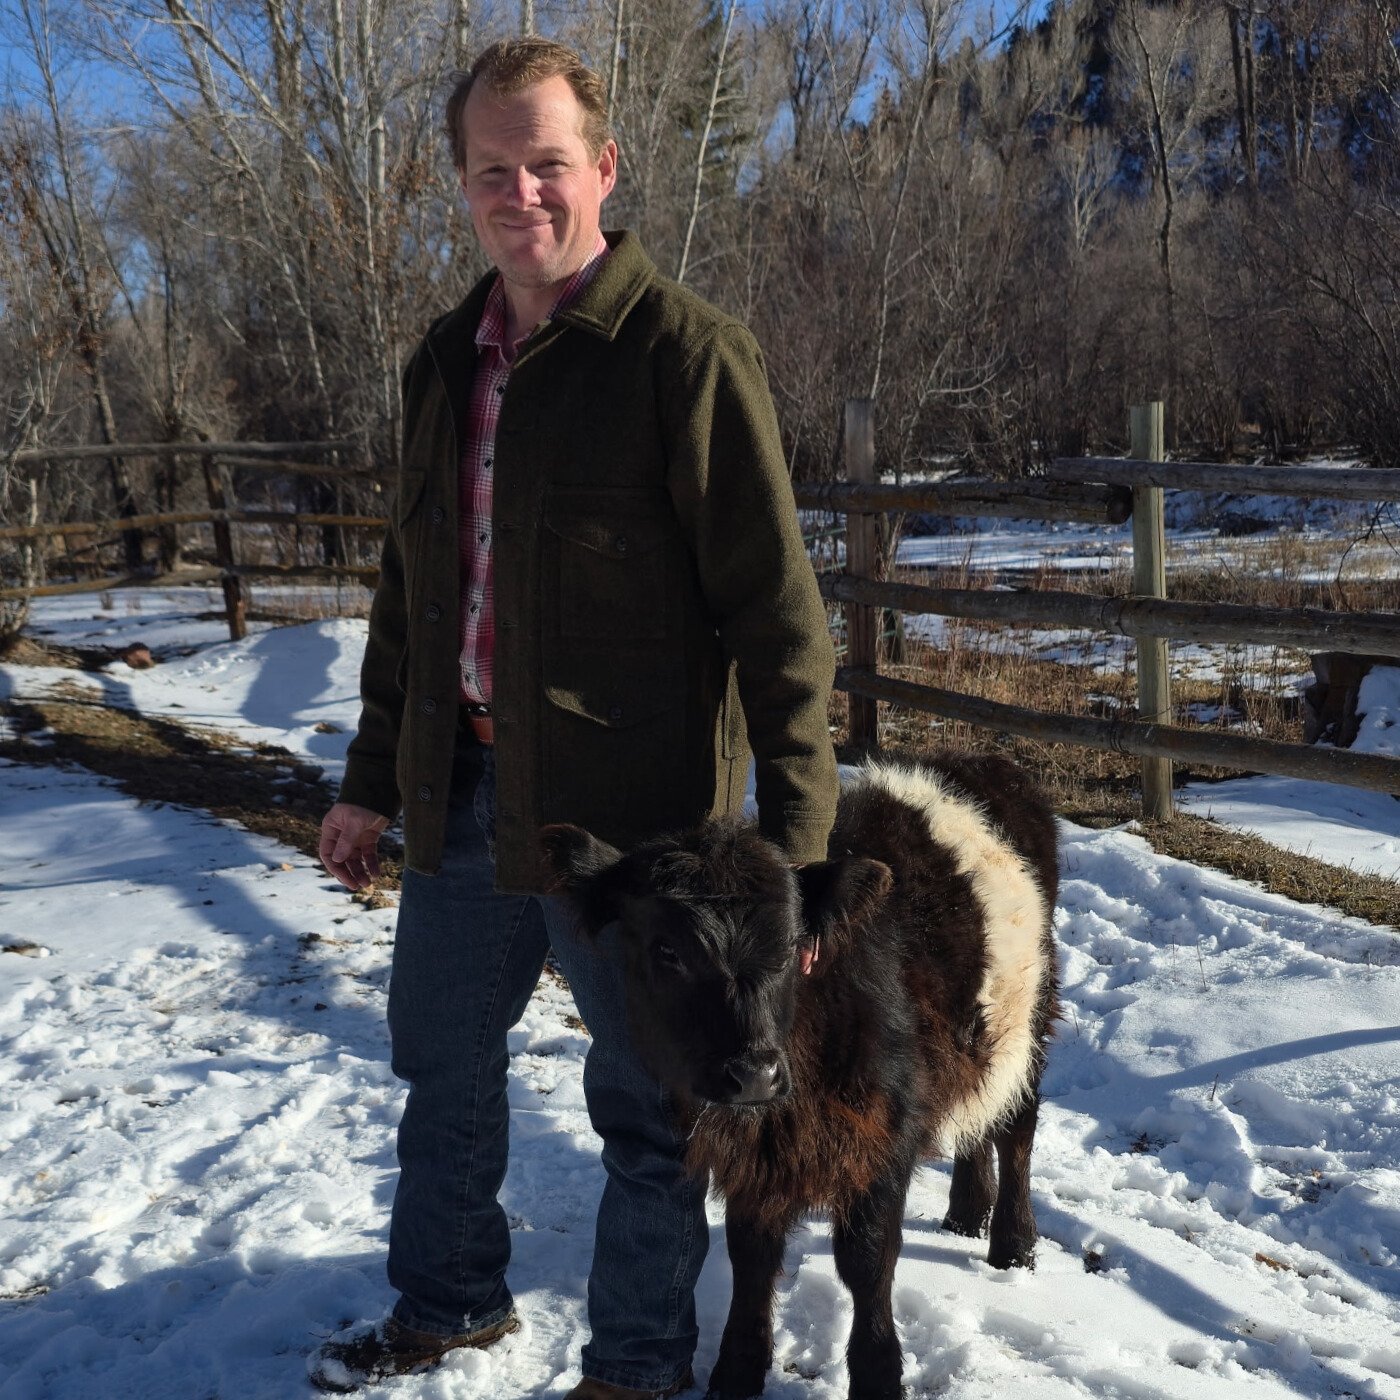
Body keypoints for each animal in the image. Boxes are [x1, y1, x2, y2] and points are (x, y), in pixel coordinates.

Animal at [540, 753, 1060, 1400]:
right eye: (667, 952)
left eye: (792, 944)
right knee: (979, 1115)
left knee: (1017, 1127)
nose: (753, 1075)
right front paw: (736, 1372)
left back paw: (1012, 1245)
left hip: (1033, 1014)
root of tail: (982, 764)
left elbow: (867, 1259)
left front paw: (878, 1375)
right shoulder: (749, 1151)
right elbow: (751, 1254)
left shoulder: (884, 1132)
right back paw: (966, 1214)